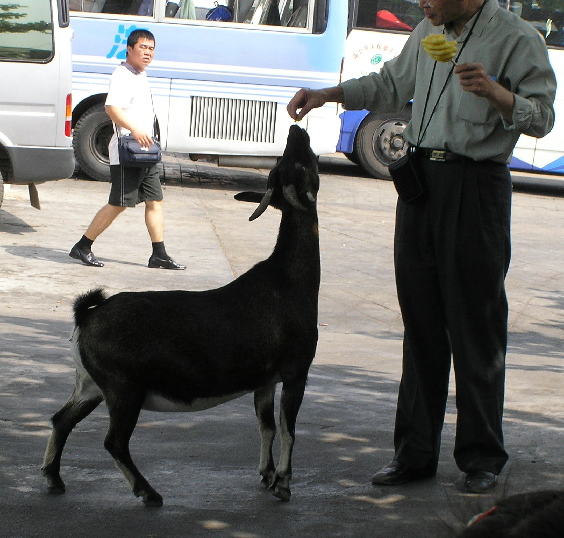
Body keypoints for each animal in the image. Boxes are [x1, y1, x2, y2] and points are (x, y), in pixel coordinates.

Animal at [41, 123, 320, 504]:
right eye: (301, 164)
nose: (296, 129)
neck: (288, 279)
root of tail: (86, 317)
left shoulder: (263, 380)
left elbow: (266, 426)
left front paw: (265, 474)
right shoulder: (295, 371)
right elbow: (289, 430)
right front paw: (283, 484)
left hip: (90, 385)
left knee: (61, 420)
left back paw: (54, 479)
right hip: (123, 388)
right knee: (114, 441)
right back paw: (148, 493)